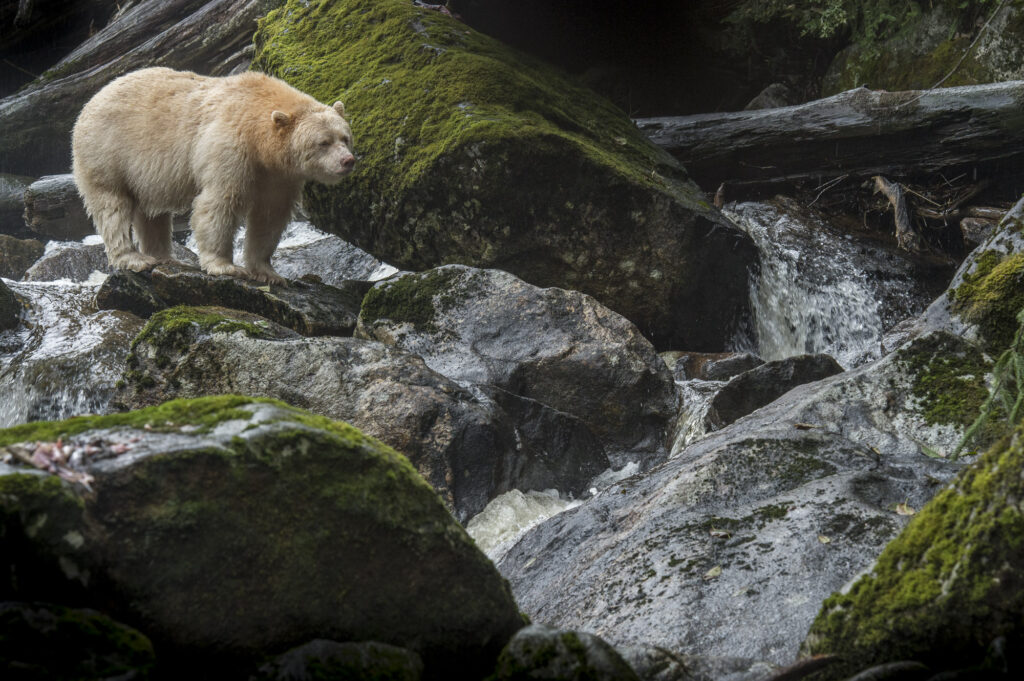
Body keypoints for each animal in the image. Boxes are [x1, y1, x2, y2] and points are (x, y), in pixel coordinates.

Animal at [72, 67, 355, 285]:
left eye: (345, 138)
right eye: (323, 142)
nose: (348, 161)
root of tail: (92, 100)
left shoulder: (278, 175)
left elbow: (269, 217)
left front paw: (269, 273)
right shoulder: (230, 147)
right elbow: (220, 202)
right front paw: (226, 266)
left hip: (144, 173)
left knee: (151, 213)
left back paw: (166, 257)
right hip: (107, 152)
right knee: (113, 206)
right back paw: (134, 259)